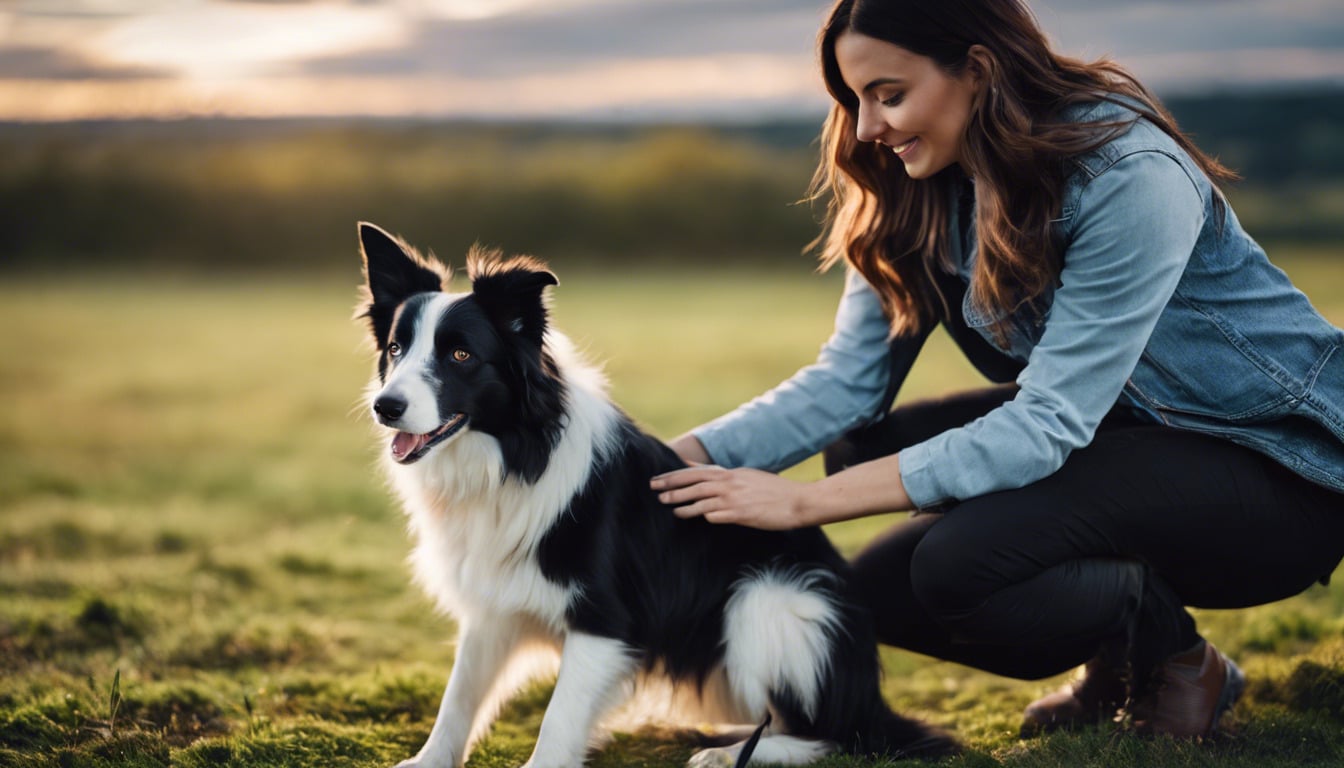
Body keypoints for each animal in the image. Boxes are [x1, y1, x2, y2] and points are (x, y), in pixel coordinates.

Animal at [357, 223, 956, 768]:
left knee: (836, 734)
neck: (510, 457)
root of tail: (870, 694)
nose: (384, 407)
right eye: (396, 348)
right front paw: (426, 761)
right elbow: (458, 698)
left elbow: (558, 717)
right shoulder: (492, 606)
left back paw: (731, 753)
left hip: (768, 600)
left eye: (460, 355)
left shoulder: (604, 621)